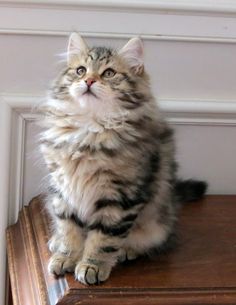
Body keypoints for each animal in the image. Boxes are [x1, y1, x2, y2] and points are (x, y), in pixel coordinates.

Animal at [39, 33, 206, 284]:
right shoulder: (62, 189)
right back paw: (56, 242)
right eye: (80, 70)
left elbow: (104, 239)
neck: (90, 129)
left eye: (108, 73)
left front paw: (92, 265)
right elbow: (69, 228)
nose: (89, 81)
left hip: (156, 224)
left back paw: (127, 251)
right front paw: (65, 257)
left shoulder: (120, 197)